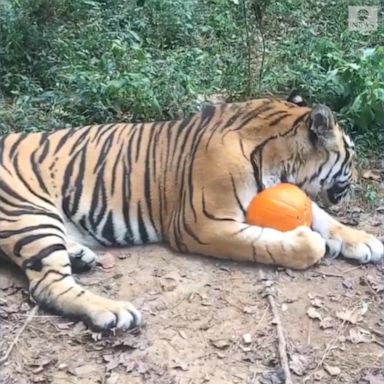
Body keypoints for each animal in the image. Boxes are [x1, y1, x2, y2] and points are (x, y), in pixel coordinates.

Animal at [0, 94, 382, 332]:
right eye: (350, 153)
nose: (358, 179)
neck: (278, 159)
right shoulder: (200, 224)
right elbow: (269, 243)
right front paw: (310, 242)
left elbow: (322, 216)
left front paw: (365, 241)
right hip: (29, 213)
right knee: (47, 286)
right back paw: (114, 312)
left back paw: (80, 255)